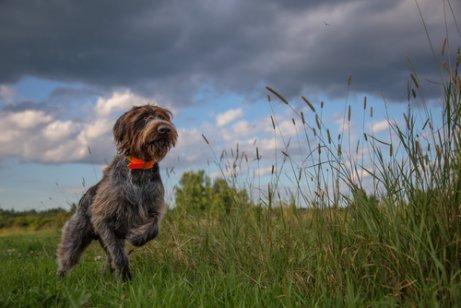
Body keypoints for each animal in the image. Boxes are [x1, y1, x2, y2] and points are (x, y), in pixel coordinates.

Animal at [56, 104, 178, 280]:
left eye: (163, 118)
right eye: (145, 117)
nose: (164, 129)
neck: (139, 168)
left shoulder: (153, 207)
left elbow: (154, 228)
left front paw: (137, 237)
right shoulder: (104, 220)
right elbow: (118, 255)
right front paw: (125, 277)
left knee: (108, 258)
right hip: (76, 236)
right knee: (67, 257)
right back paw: (60, 279)